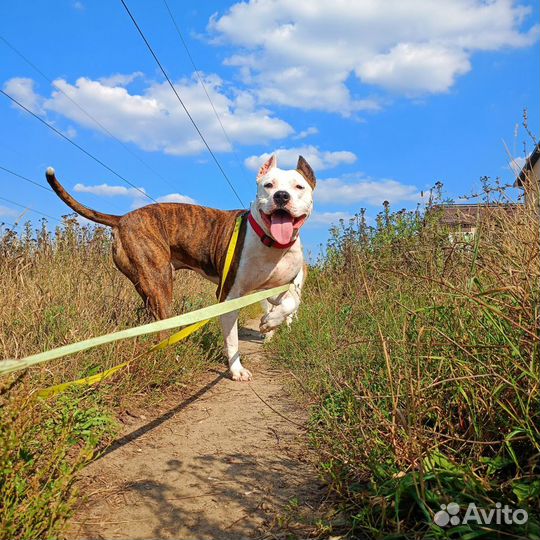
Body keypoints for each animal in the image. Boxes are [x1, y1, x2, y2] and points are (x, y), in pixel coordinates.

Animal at [48, 154, 316, 382]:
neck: (271, 244)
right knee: (162, 328)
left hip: (147, 284)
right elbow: (232, 340)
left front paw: (270, 322)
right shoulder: (228, 295)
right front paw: (237, 369)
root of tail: (122, 218)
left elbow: (290, 304)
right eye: (268, 185)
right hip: (160, 280)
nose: (281, 196)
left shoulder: (283, 286)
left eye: (299, 187)